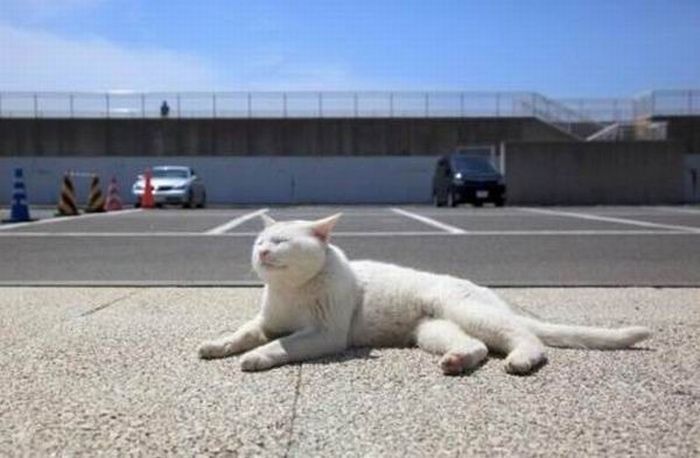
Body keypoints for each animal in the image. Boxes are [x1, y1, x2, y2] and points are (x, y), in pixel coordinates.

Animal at [198, 215, 652, 376]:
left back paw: (522, 360)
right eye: (259, 240)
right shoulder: (266, 321)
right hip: (431, 331)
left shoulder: (325, 336)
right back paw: (457, 361)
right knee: (478, 347)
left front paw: (256, 358)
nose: (261, 251)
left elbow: (282, 345)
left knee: (525, 338)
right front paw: (218, 346)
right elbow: (241, 334)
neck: (290, 292)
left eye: (281, 241)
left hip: (464, 309)